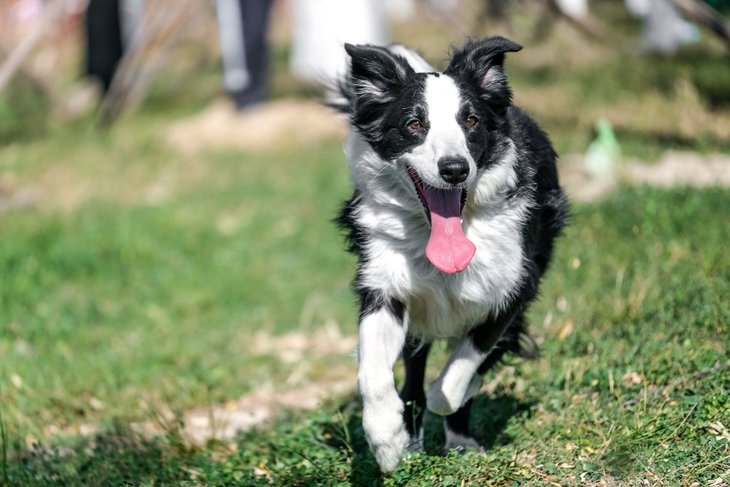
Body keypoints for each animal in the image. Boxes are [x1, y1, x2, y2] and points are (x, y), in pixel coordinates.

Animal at [330, 37, 569, 472]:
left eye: (471, 121)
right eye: (414, 124)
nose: (455, 168)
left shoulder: (513, 289)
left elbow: (457, 377)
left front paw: (456, 398)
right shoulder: (384, 284)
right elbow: (374, 371)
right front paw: (386, 438)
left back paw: (459, 438)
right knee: (412, 376)